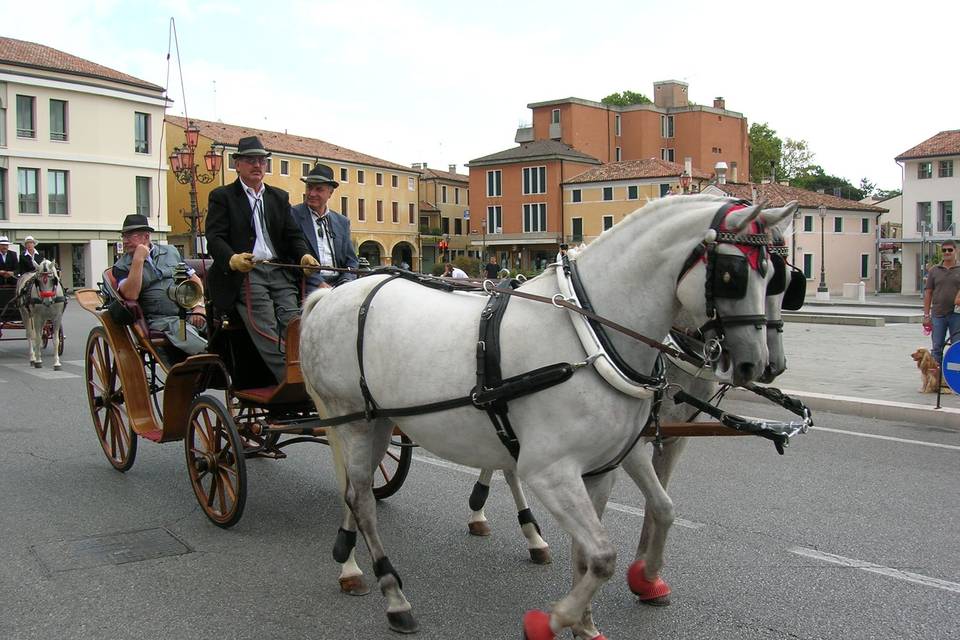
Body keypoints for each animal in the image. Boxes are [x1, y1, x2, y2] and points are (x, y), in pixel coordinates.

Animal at [306, 196, 780, 640]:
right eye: (733, 273)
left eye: (775, 275)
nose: (757, 364)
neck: (590, 338)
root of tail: (332, 294)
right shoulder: (551, 472)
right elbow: (603, 557)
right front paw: (551, 621)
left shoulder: (601, 470)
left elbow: (592, 552)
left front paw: (586, 624)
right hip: (350, 419)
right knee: (360, 498)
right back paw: (389, 593)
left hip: (381, 420)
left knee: (356, 489)